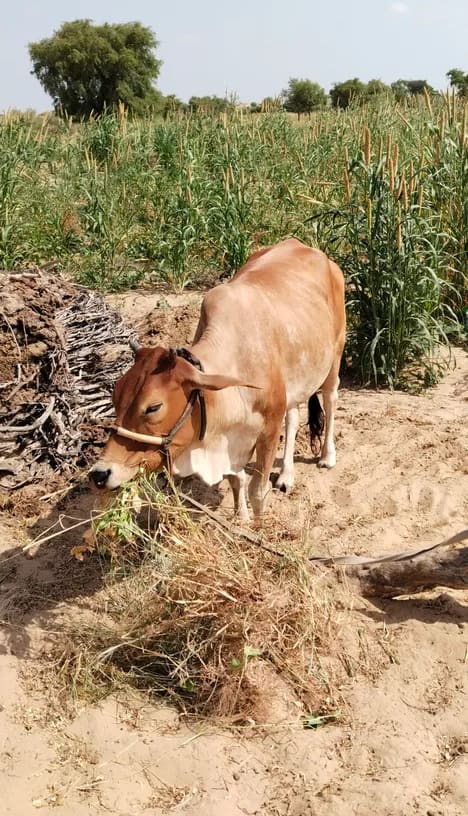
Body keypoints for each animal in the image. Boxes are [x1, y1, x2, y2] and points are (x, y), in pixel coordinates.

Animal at [89, 239, 346, 519]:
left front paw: (257, 525)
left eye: (153, 407)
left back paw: (328, 457)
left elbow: (258, 491)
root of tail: (306, 247)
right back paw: (287, 474)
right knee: (294, 416)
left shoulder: (268, 428)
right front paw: (240, 518)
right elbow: (237, 480)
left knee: (330, 398)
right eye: (115, 397)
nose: (99, 474)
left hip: (335, 354)